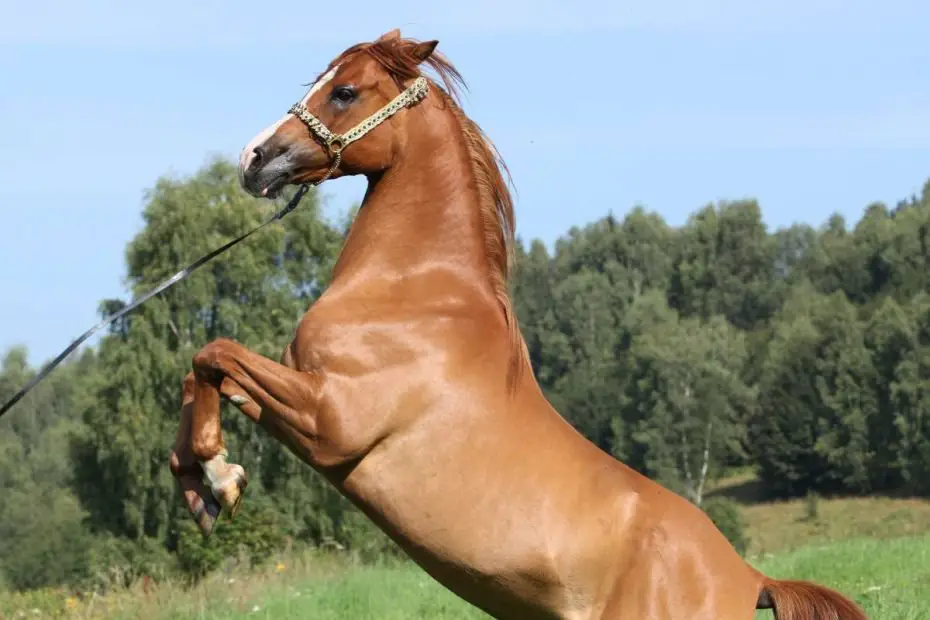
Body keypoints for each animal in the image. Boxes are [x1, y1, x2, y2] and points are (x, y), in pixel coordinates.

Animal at [168, 30, 869, 619]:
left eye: (344, 91)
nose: (254, 157)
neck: (412, 294)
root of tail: (751, 579)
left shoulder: (327, 420)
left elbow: (215, 352)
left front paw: (220, 477)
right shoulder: (292, 391)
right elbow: (198, 375)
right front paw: (202, 490)